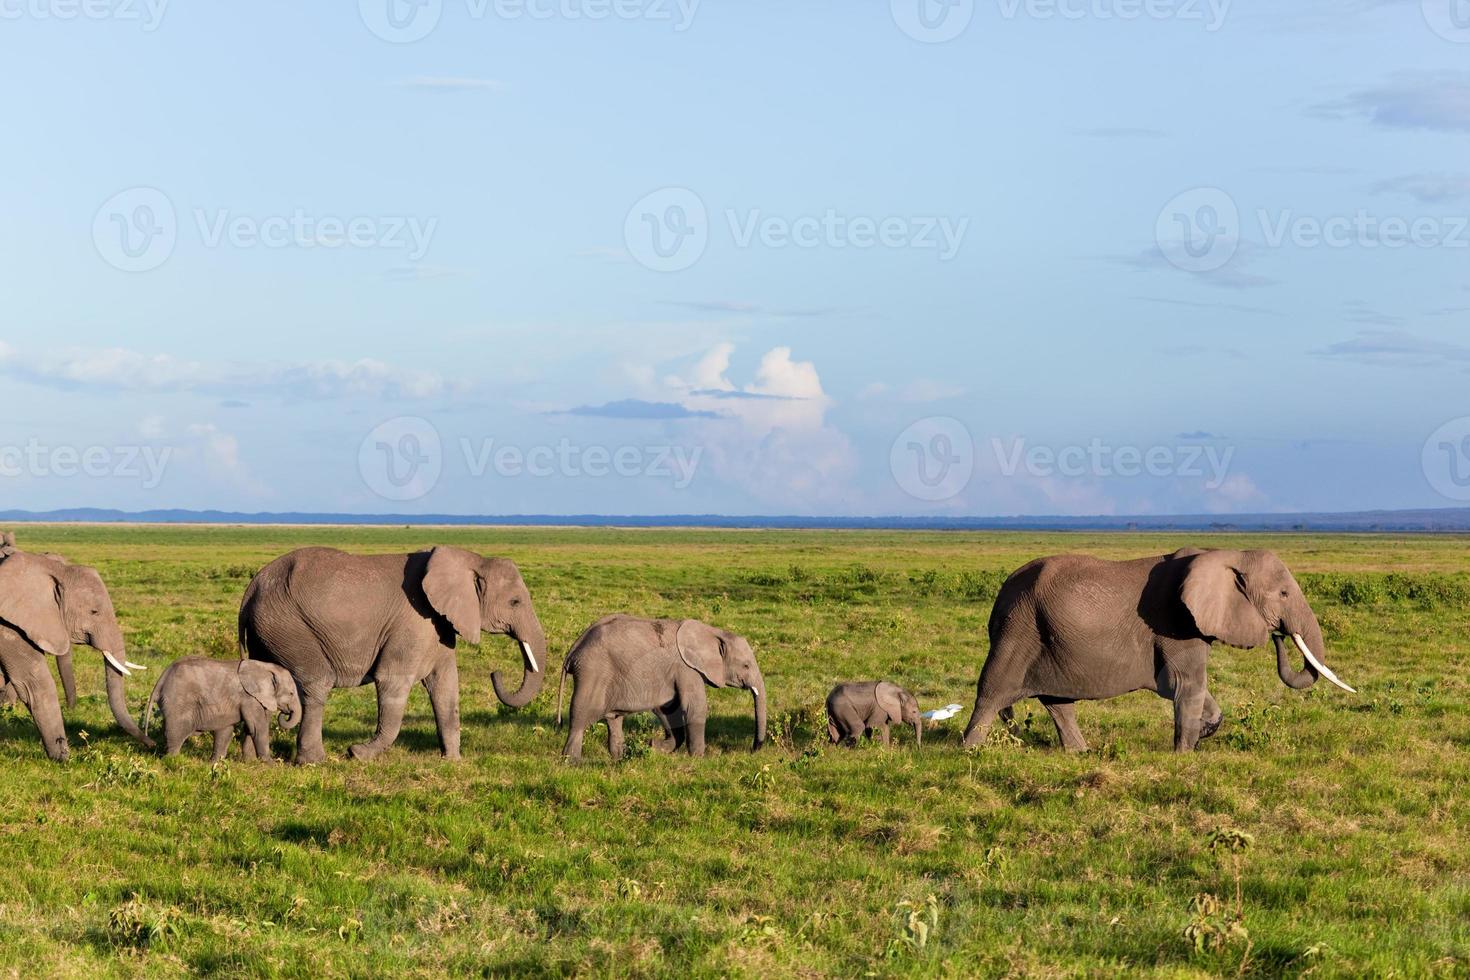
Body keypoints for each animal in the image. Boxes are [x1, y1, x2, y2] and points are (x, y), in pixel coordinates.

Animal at [141, 658, 301, 764]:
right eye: (292, 693)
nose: (286, 713)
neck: (265, 667)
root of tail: (161, 679)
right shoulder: (249, 698)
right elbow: (258, 727)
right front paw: (271, 764)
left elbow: (242, 729)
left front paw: (248, 763)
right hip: (178, 701)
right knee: (177, 731)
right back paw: (171, 760)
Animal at [238, 543, 549, 764]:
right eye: (515, 602)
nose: (496, 673)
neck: (470, 558)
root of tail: (251, 588)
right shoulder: (414, 621)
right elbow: (393, 681)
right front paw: (359, 754)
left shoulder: (437, 623)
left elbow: (445, 685)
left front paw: (452, 761)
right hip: (287, 625)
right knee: (317, 683)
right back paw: (314, 762)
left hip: (268, 627)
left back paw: (254, 761)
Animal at [552, 617, 770, 764]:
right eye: (746, 666)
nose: (753, 750)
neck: (712, 632)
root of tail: (573, 650)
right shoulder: (687, 669)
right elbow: (694, 707)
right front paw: (699, 759)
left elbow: (668, 709)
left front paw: (654, 746)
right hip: (593, 672)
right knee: (582, 716)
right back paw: (572, 763)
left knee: (613, 718)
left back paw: (620, 758)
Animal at [964, 549, 1352, 758]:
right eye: (1284, 594)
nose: (1278, 635)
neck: (1223, 554)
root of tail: (1000, 594)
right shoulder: (1177, 621)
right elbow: (1186, 684)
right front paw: (1183, 755)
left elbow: (1181, 688)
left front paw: (1204, 731)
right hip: (1019, 629)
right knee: (992, 692)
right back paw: (969, 751)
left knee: (1058, 702)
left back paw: (1081, 753)